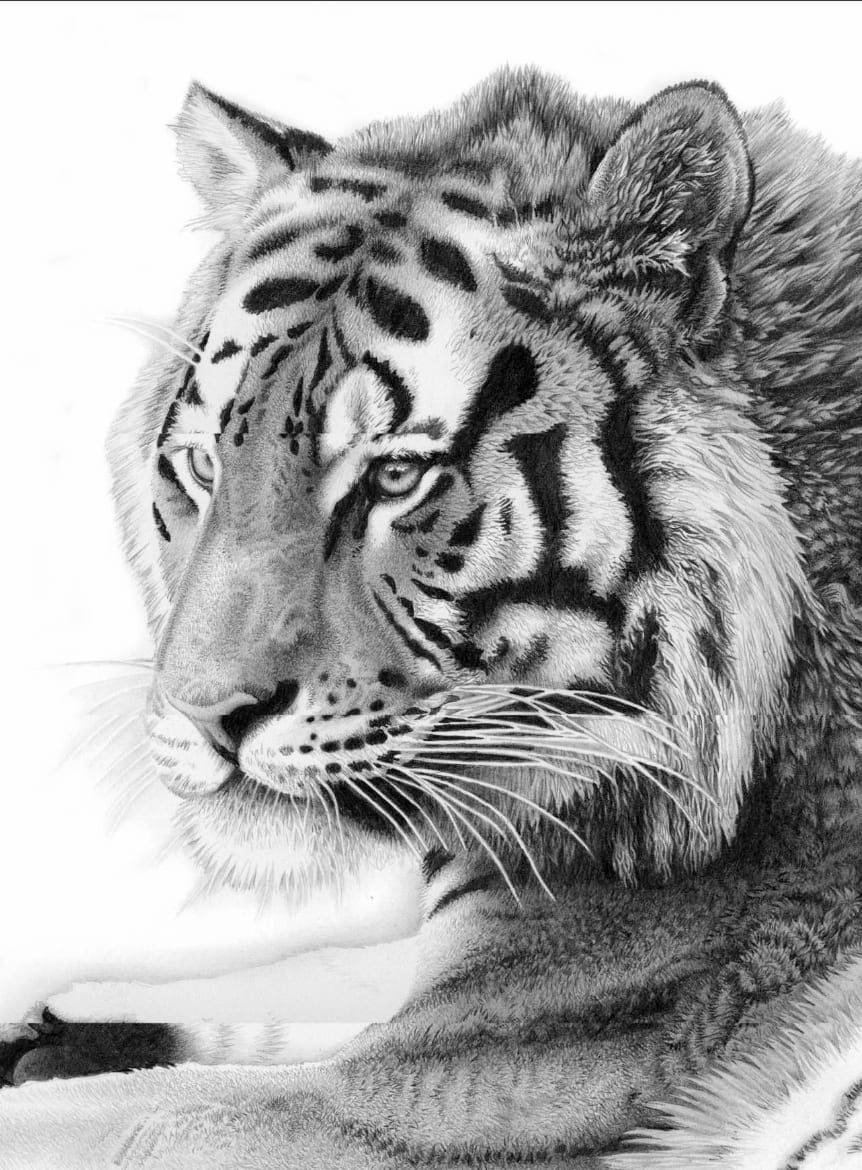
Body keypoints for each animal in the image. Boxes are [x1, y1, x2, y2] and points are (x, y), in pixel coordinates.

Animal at [2, 65, 862, 1168]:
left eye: (395, 478)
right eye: (201, 465)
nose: (202, 715)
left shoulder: (465, 1080)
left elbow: (140, 1112)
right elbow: (292, 978)